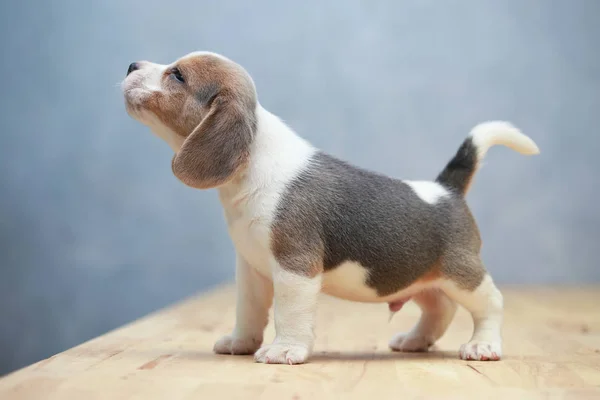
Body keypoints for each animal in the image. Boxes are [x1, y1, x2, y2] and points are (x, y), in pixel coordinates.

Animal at [120, 50, 540, 366]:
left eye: (177, 75)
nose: (131, 65)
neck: (251, 166)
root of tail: (446, 188)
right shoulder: (252, 270)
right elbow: (249, 310)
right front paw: (241, 342)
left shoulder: (295, 267)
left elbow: (288, 312)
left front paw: (284, 350)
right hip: (421, 278)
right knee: (440, 309)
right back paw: (416, 340)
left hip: (461, 273)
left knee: (489, 304)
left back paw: (484, 345)